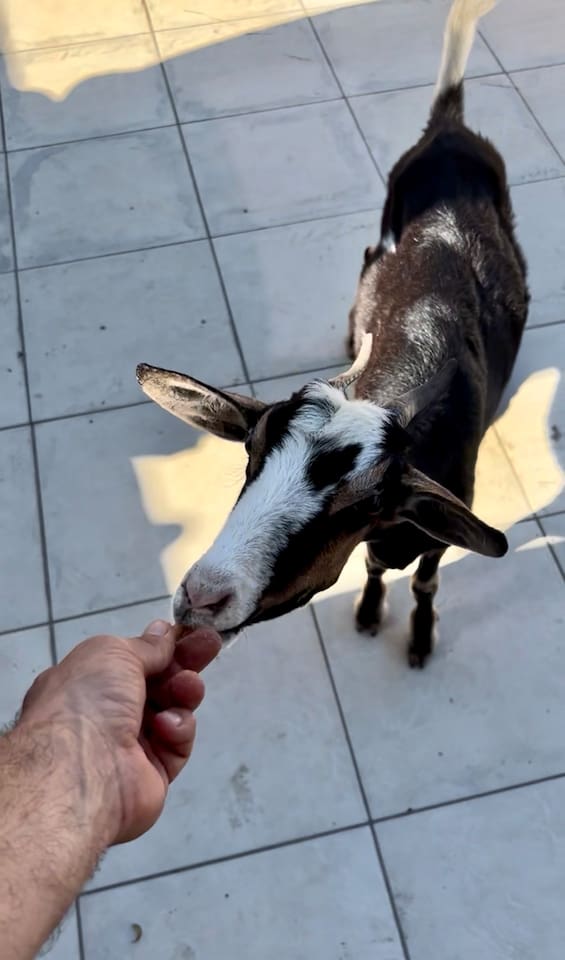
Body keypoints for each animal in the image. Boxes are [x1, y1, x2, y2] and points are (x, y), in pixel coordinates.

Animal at [137, 0, 528, 667]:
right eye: (251, 450)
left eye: (364, 502)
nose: (202, 596)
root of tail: (450, 126)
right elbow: (373, 566)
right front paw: (370, 612)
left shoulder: (433, 525)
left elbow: (424, 578)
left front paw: (419, 637)